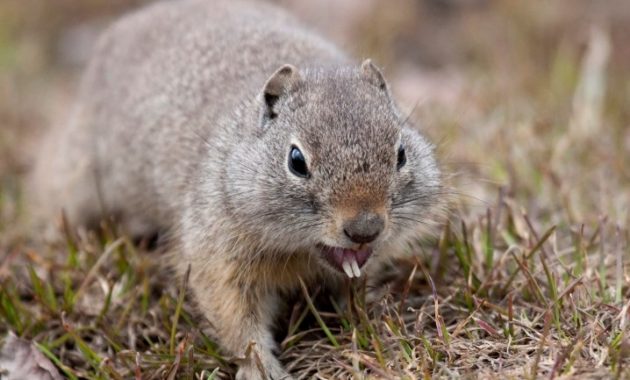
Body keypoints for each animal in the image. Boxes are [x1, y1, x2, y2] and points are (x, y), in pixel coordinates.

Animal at [30, 1, 444, 378]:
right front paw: (263, 370)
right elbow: (237, 323)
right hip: (77, 178)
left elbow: (355, 286)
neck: (298, 253)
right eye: (296, 160)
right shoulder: (218, 258)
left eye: (401, 153)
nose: (364, 228)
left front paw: (367, 320)